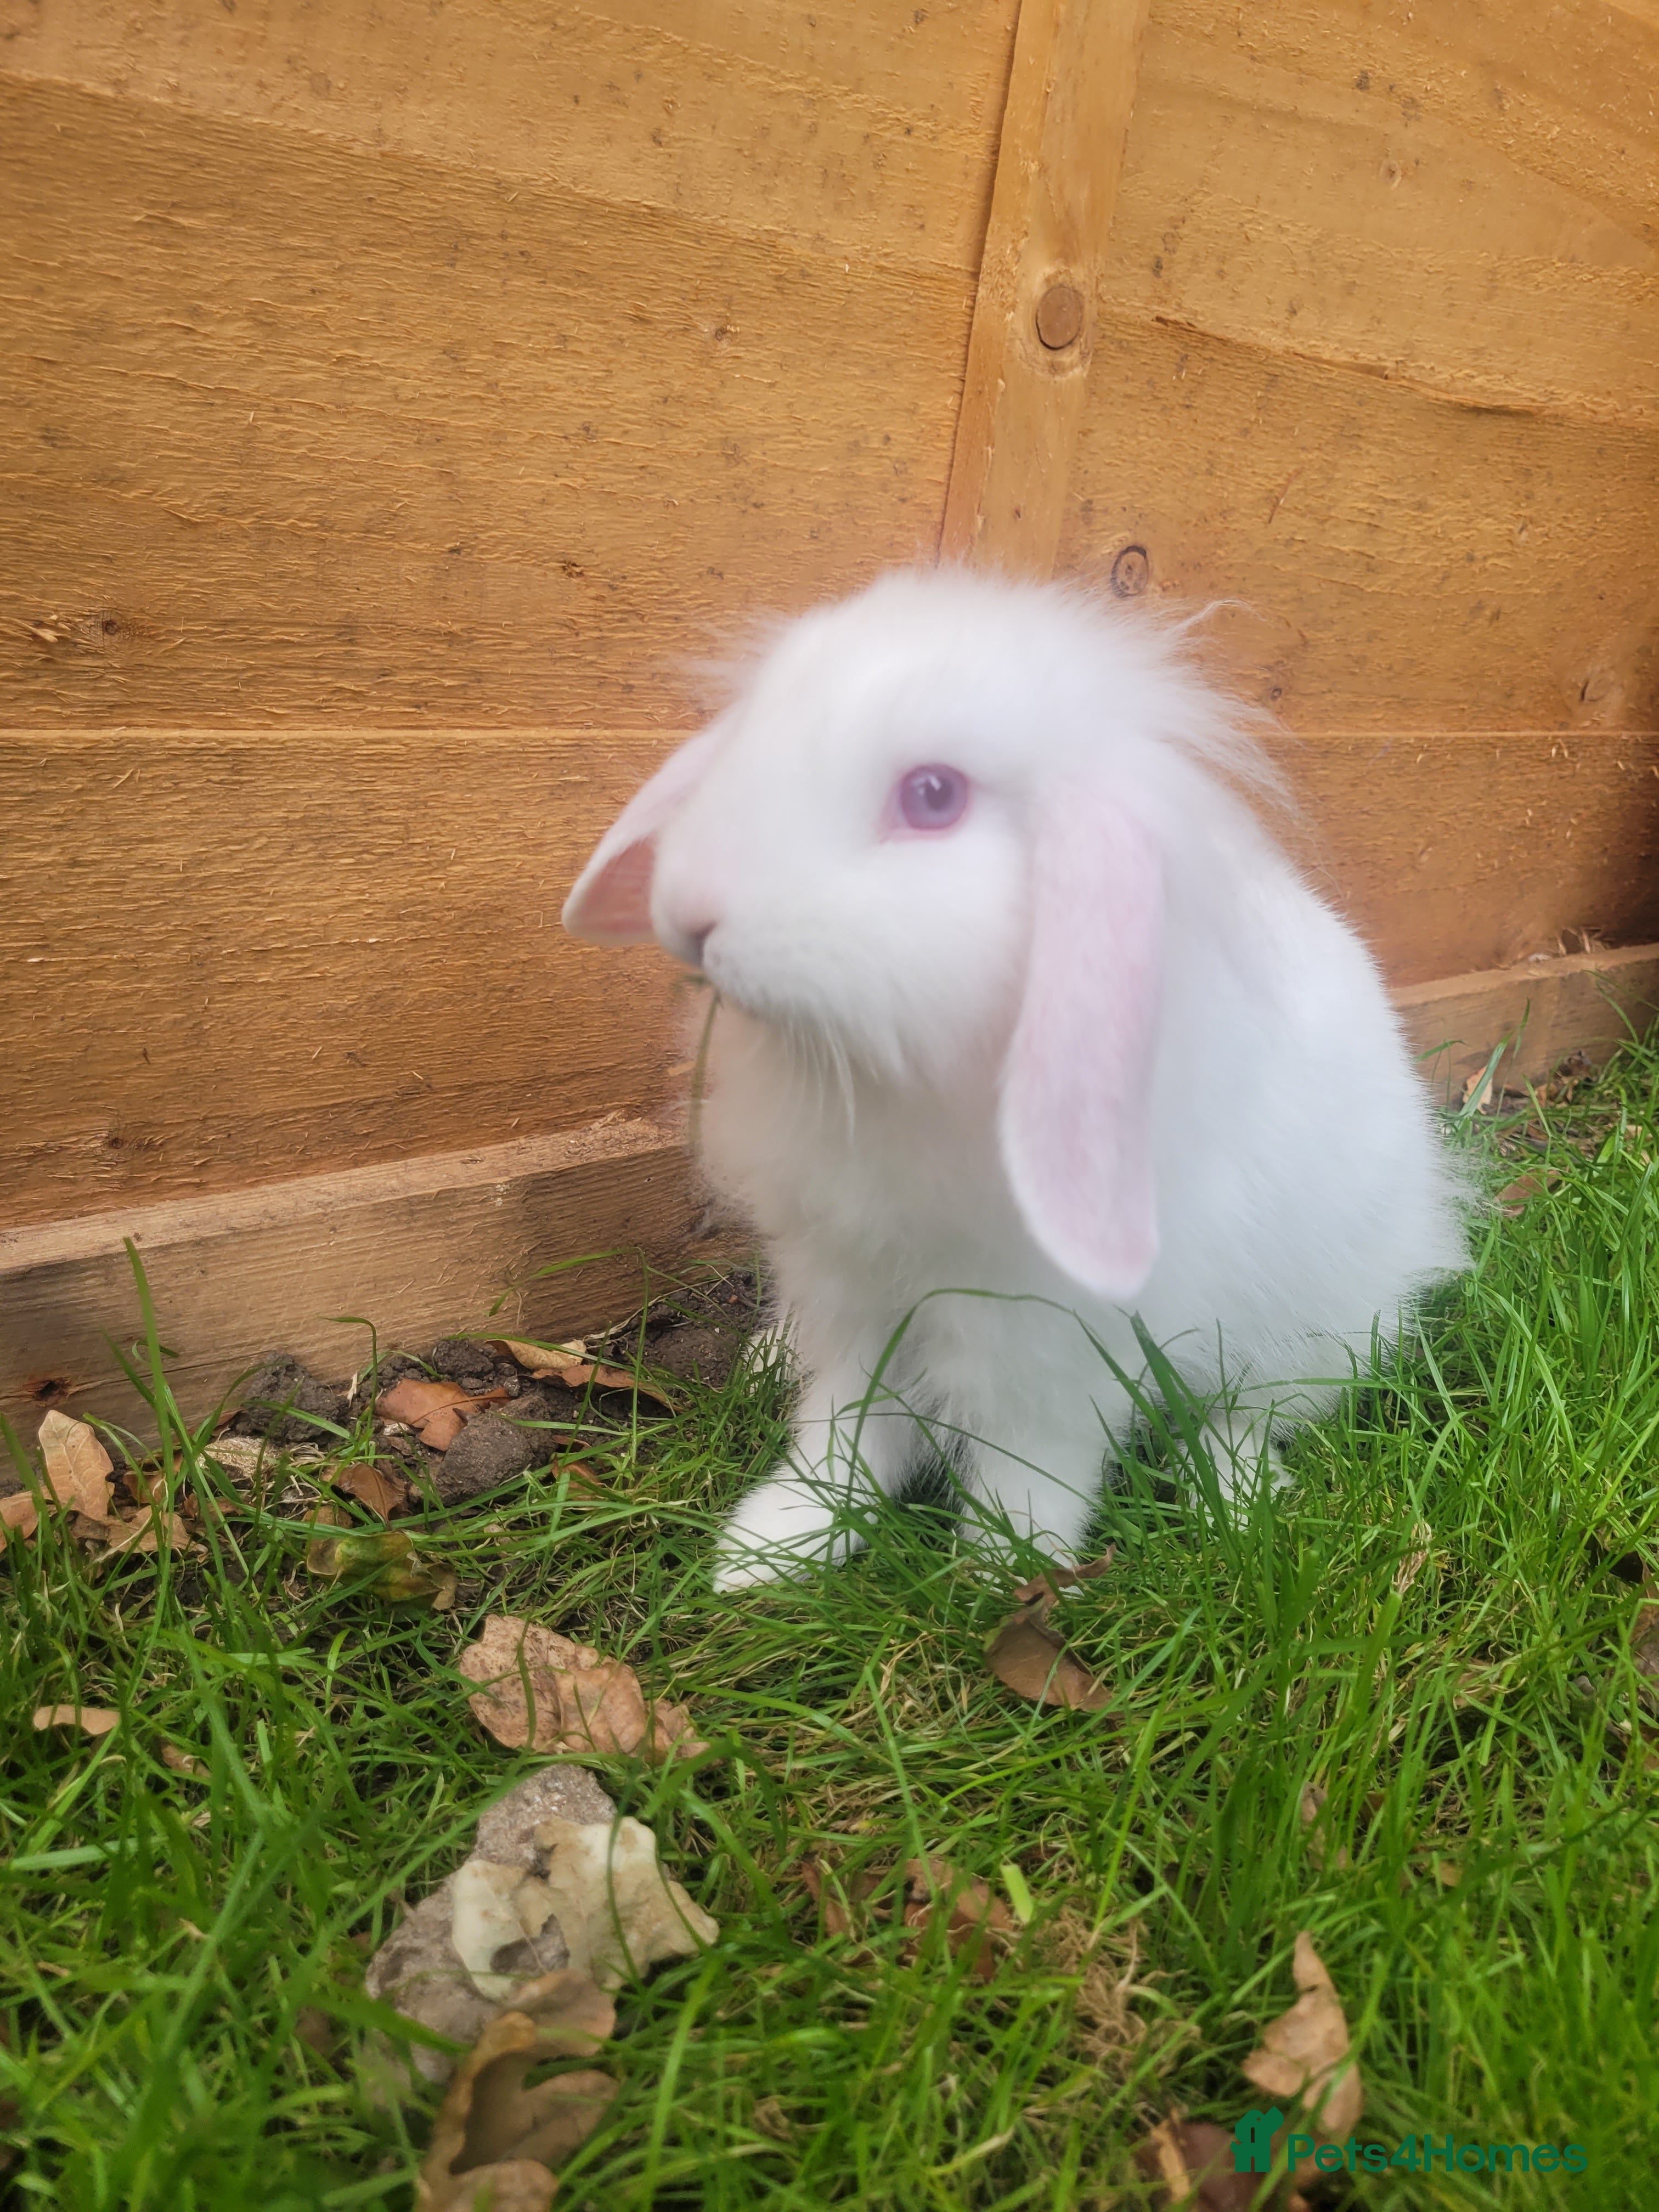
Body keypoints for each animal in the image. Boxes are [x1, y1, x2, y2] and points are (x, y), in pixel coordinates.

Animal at [563, 569, 1467, 1589]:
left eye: (932, 795)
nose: (689, 912)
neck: (906, 1087)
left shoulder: (1051, 1348)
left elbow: (1034, 1464)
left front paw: (1003, 1570)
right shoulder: (853, 1297)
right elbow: (841, 1433)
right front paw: (769, 1550)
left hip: (1314, 1331)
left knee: (1247, 1416)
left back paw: (1235, 1506)